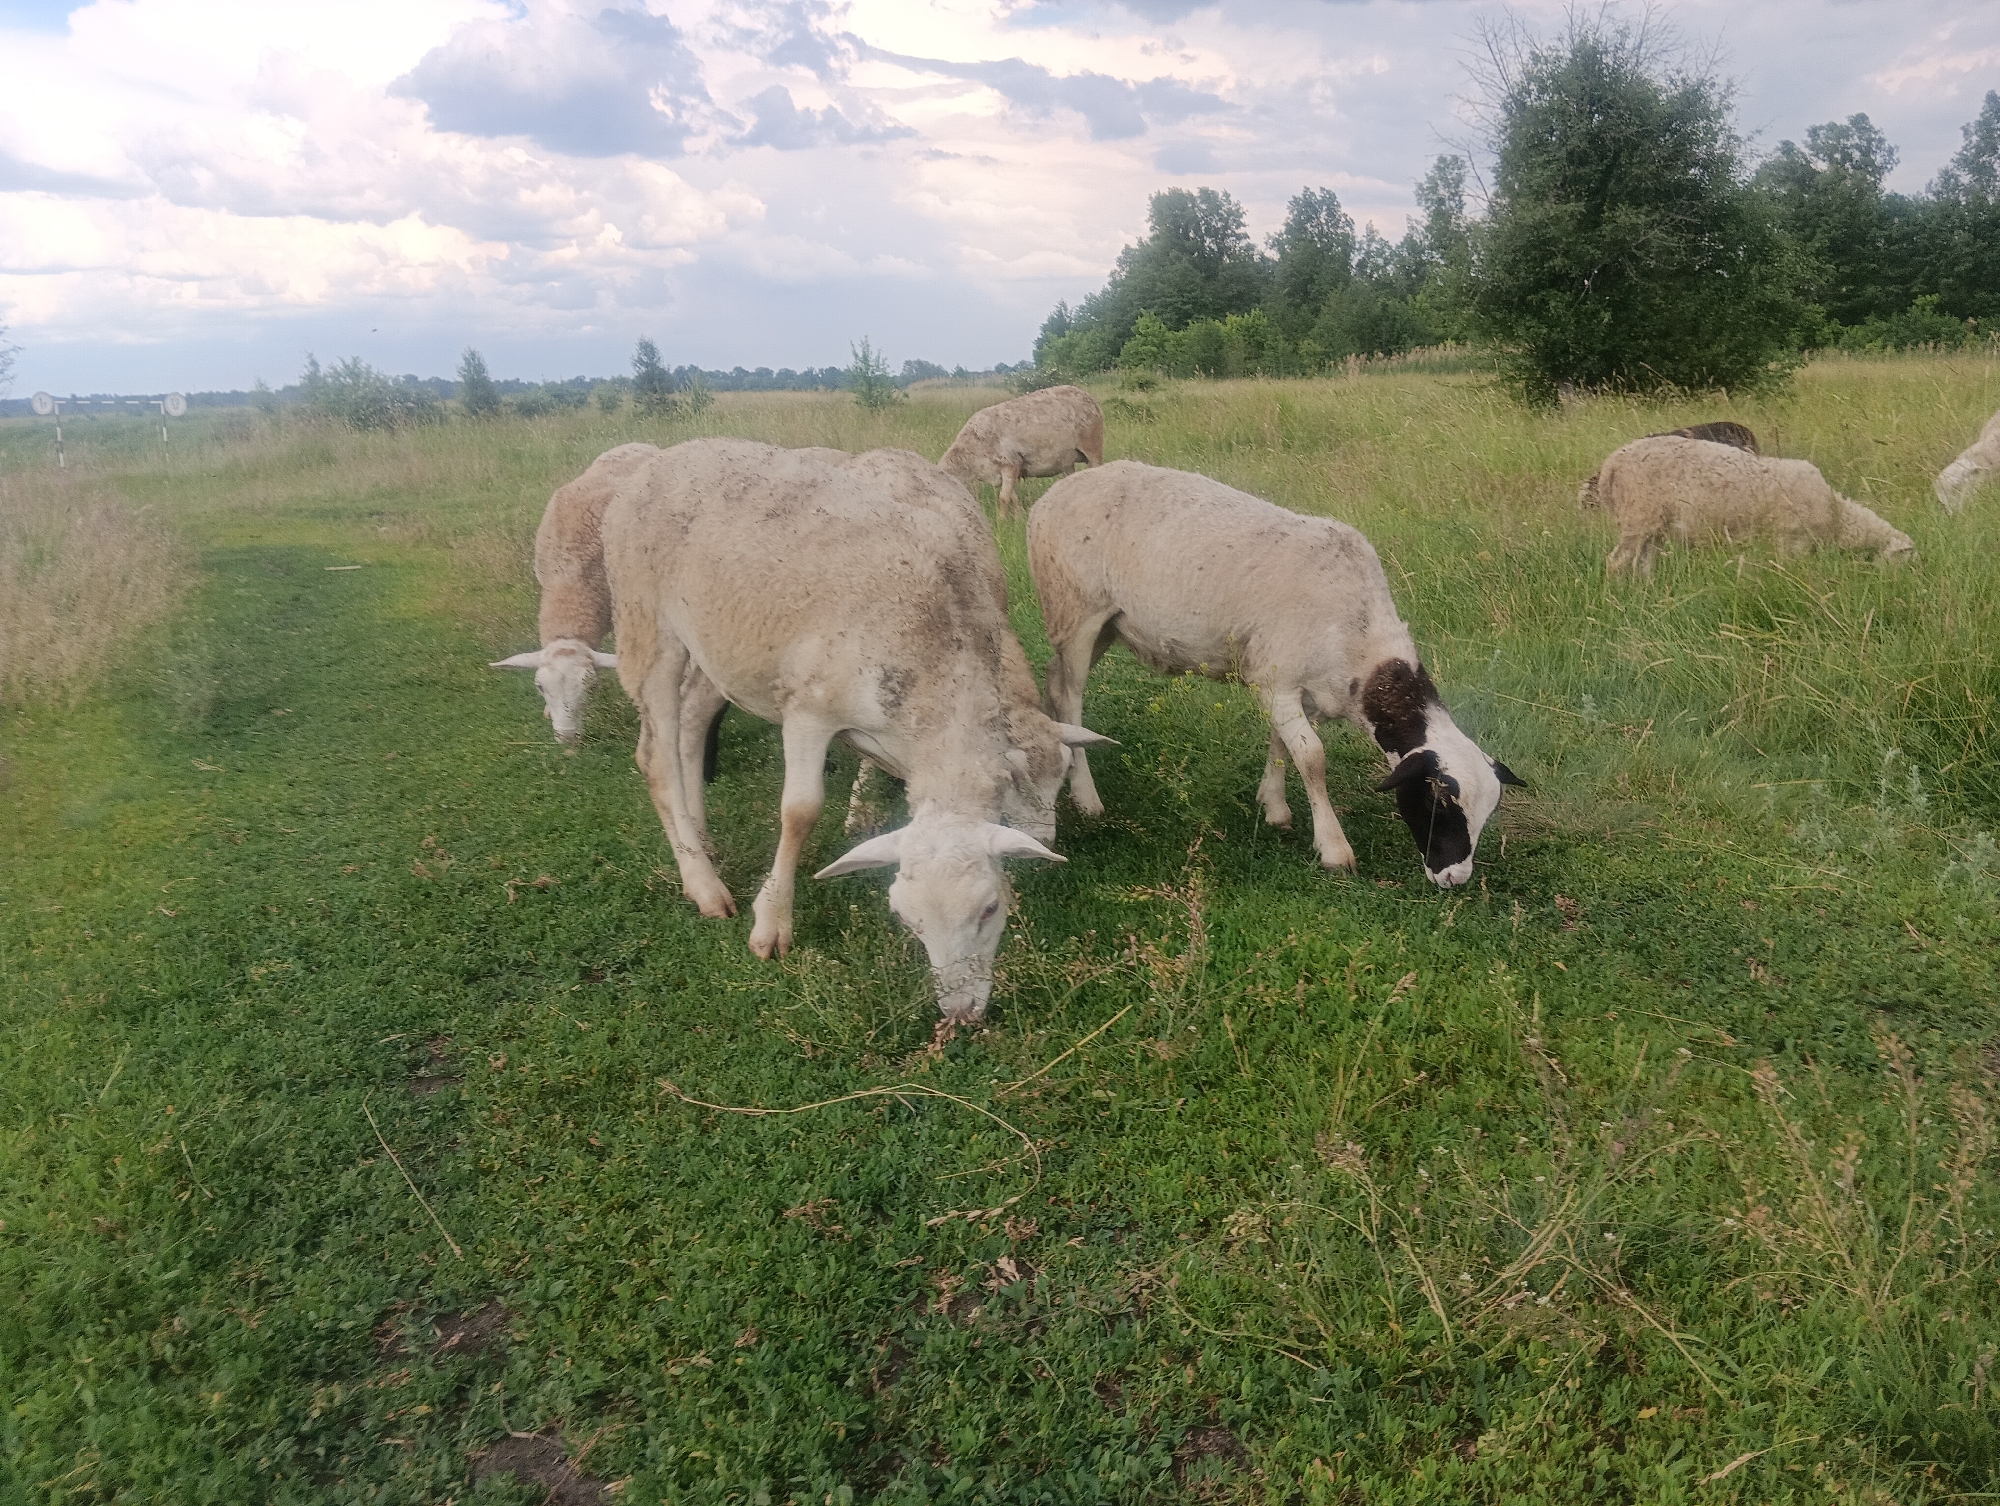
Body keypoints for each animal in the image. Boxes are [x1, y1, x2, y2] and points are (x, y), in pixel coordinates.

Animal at [602, 438, 1110, 1022]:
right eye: (907, 920)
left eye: (989, 908)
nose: (959, 1011)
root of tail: (662, 458)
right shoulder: (808, 709)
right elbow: (800, 812)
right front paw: (772, 921)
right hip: (647, 621)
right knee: (655, 754)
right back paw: (703, 884)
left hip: (720, 645)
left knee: (689, 723)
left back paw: (702, 837)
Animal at [940, 385, 1105, 519]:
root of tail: (1090, 399)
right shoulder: (1006, 471)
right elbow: (1012, 497)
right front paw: (1019, 518)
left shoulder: (1010, 463)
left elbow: (1003, 498)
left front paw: (1001, 521)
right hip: (1068, 459)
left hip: (1092, 445)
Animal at [1028, 461, 1522, 888]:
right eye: (1437, 803)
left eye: (1486, 815)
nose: (1454, 878)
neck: (1361, 642)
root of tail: (1052, 495)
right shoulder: (1277, 679)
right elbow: (1313, 758)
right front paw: (1333, 849)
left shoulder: (1294, 688)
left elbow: (1283, 745)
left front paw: (1274, 806)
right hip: (1076, 608)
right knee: (1071, 694)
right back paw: (1087, 797)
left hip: (1107, 624)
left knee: (1054, 679)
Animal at [1591, 435, 1912, 574]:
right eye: (1906, 561)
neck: (1839, 516)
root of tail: (1610, 465)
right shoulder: (1791, 541)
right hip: (1638, 517)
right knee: (1615, 562)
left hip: (1652, 527)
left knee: (1644, 563)